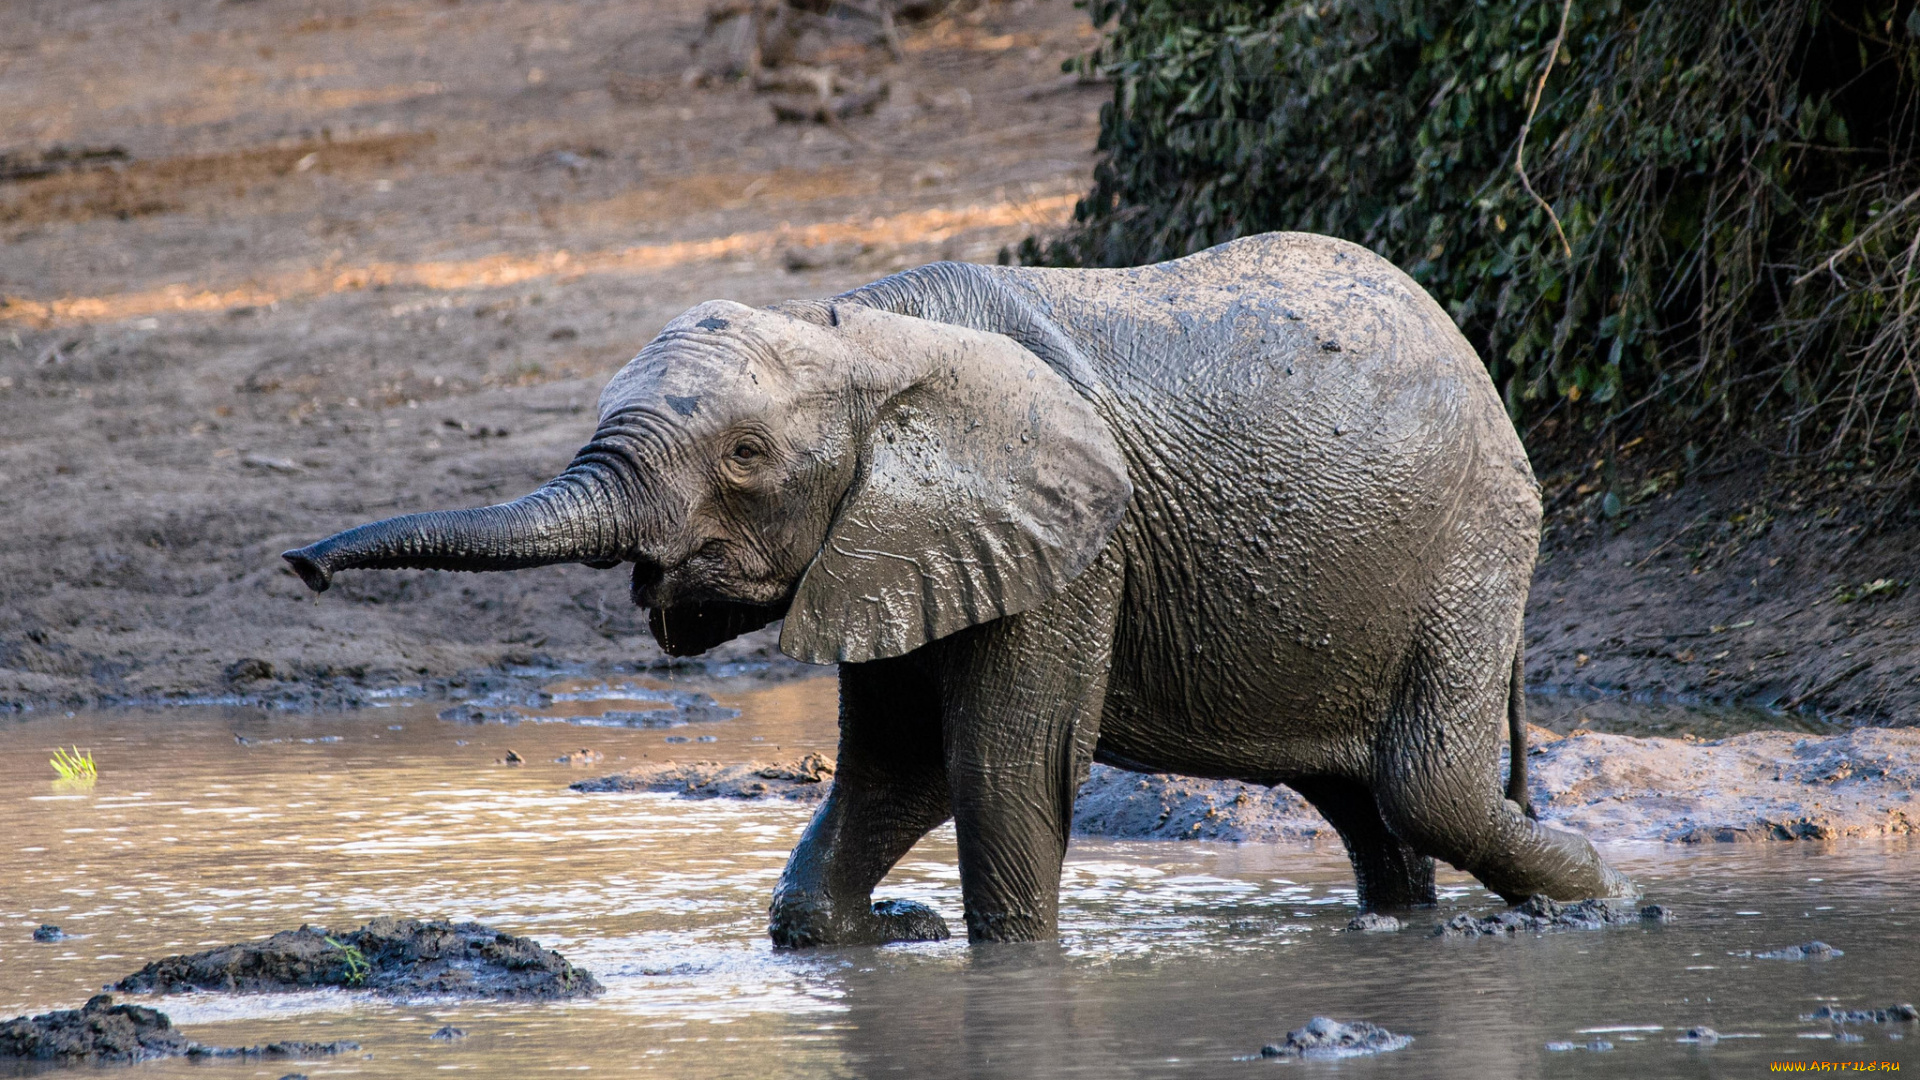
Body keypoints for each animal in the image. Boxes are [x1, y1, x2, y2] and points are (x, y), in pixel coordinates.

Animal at [288, 231, 1635, 937]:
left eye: (745, 457)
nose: (302, 564)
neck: (860, 338)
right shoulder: (898, 543)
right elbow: (896, 766)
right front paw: (838, 941)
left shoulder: (1075, 548)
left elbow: (1000, 764)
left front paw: (1009, 966)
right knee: (1365, 802)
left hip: (1476, 537)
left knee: (1424, 785)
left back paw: (1596, 899)